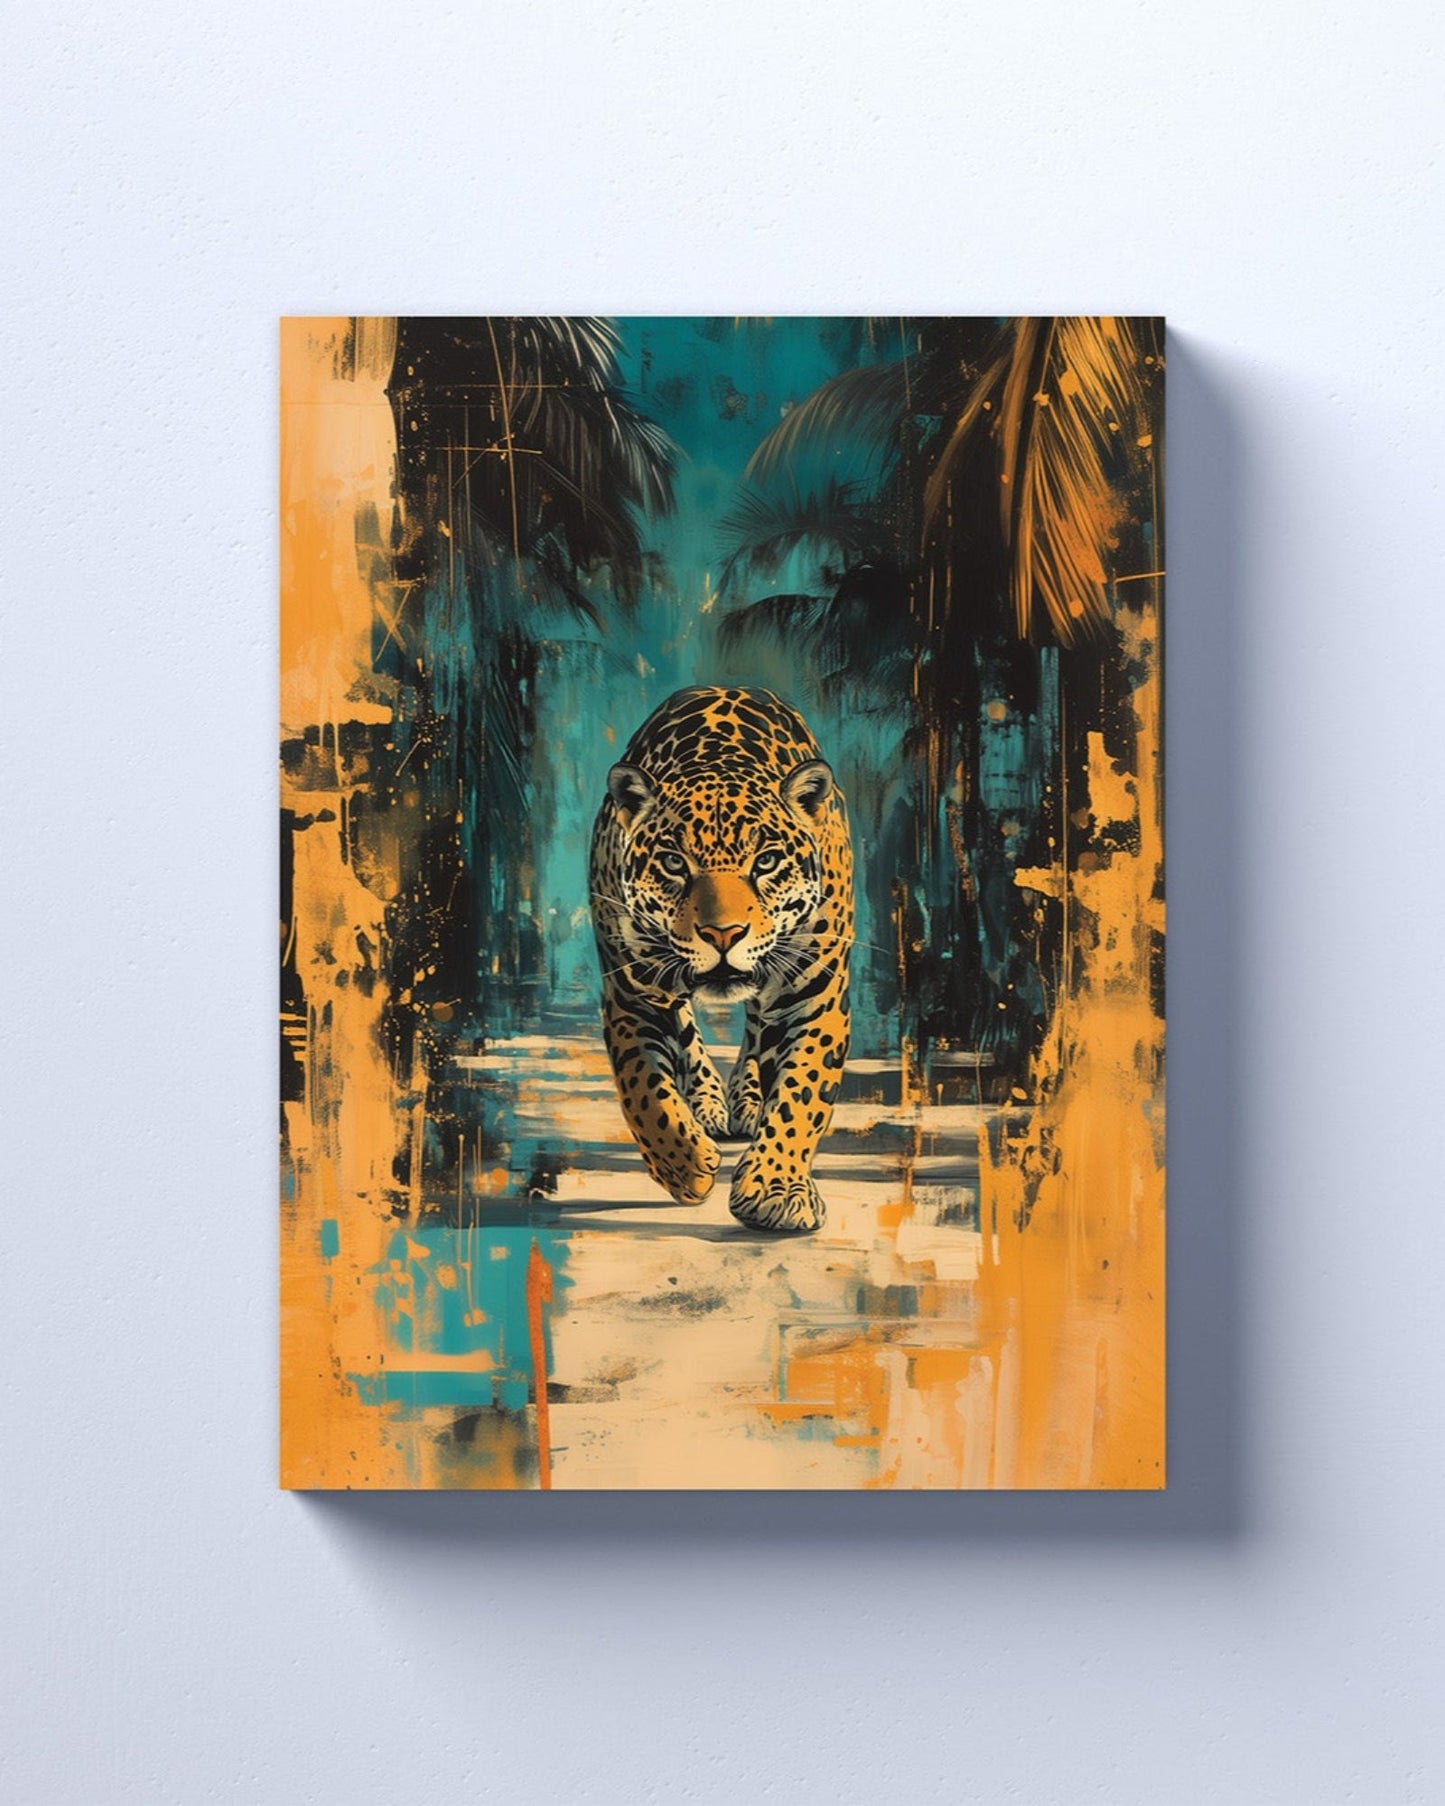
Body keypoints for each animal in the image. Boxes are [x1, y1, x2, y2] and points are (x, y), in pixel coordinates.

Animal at [588, 685, 854, 1233]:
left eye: (766, 862)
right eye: (674, 863)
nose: (723, 934)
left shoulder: (815, 998)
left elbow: (802, 1093)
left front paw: (775, 1190)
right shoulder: (633, 996)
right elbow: (643, 1087)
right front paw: (684, 1165)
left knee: (757, 1031)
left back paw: (745, 1103)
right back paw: (709, 1108)